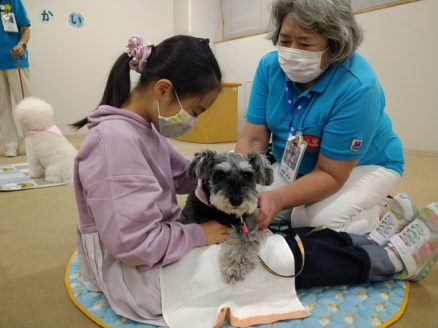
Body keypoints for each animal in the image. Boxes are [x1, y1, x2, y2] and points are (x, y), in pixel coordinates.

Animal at [180, 150, 272, 284]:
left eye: (247, 175)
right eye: (220, 174)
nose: (236, 200)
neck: (221, 212)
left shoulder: (248, 229)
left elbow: (243, 245)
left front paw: (234, 267)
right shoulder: (188, 218)